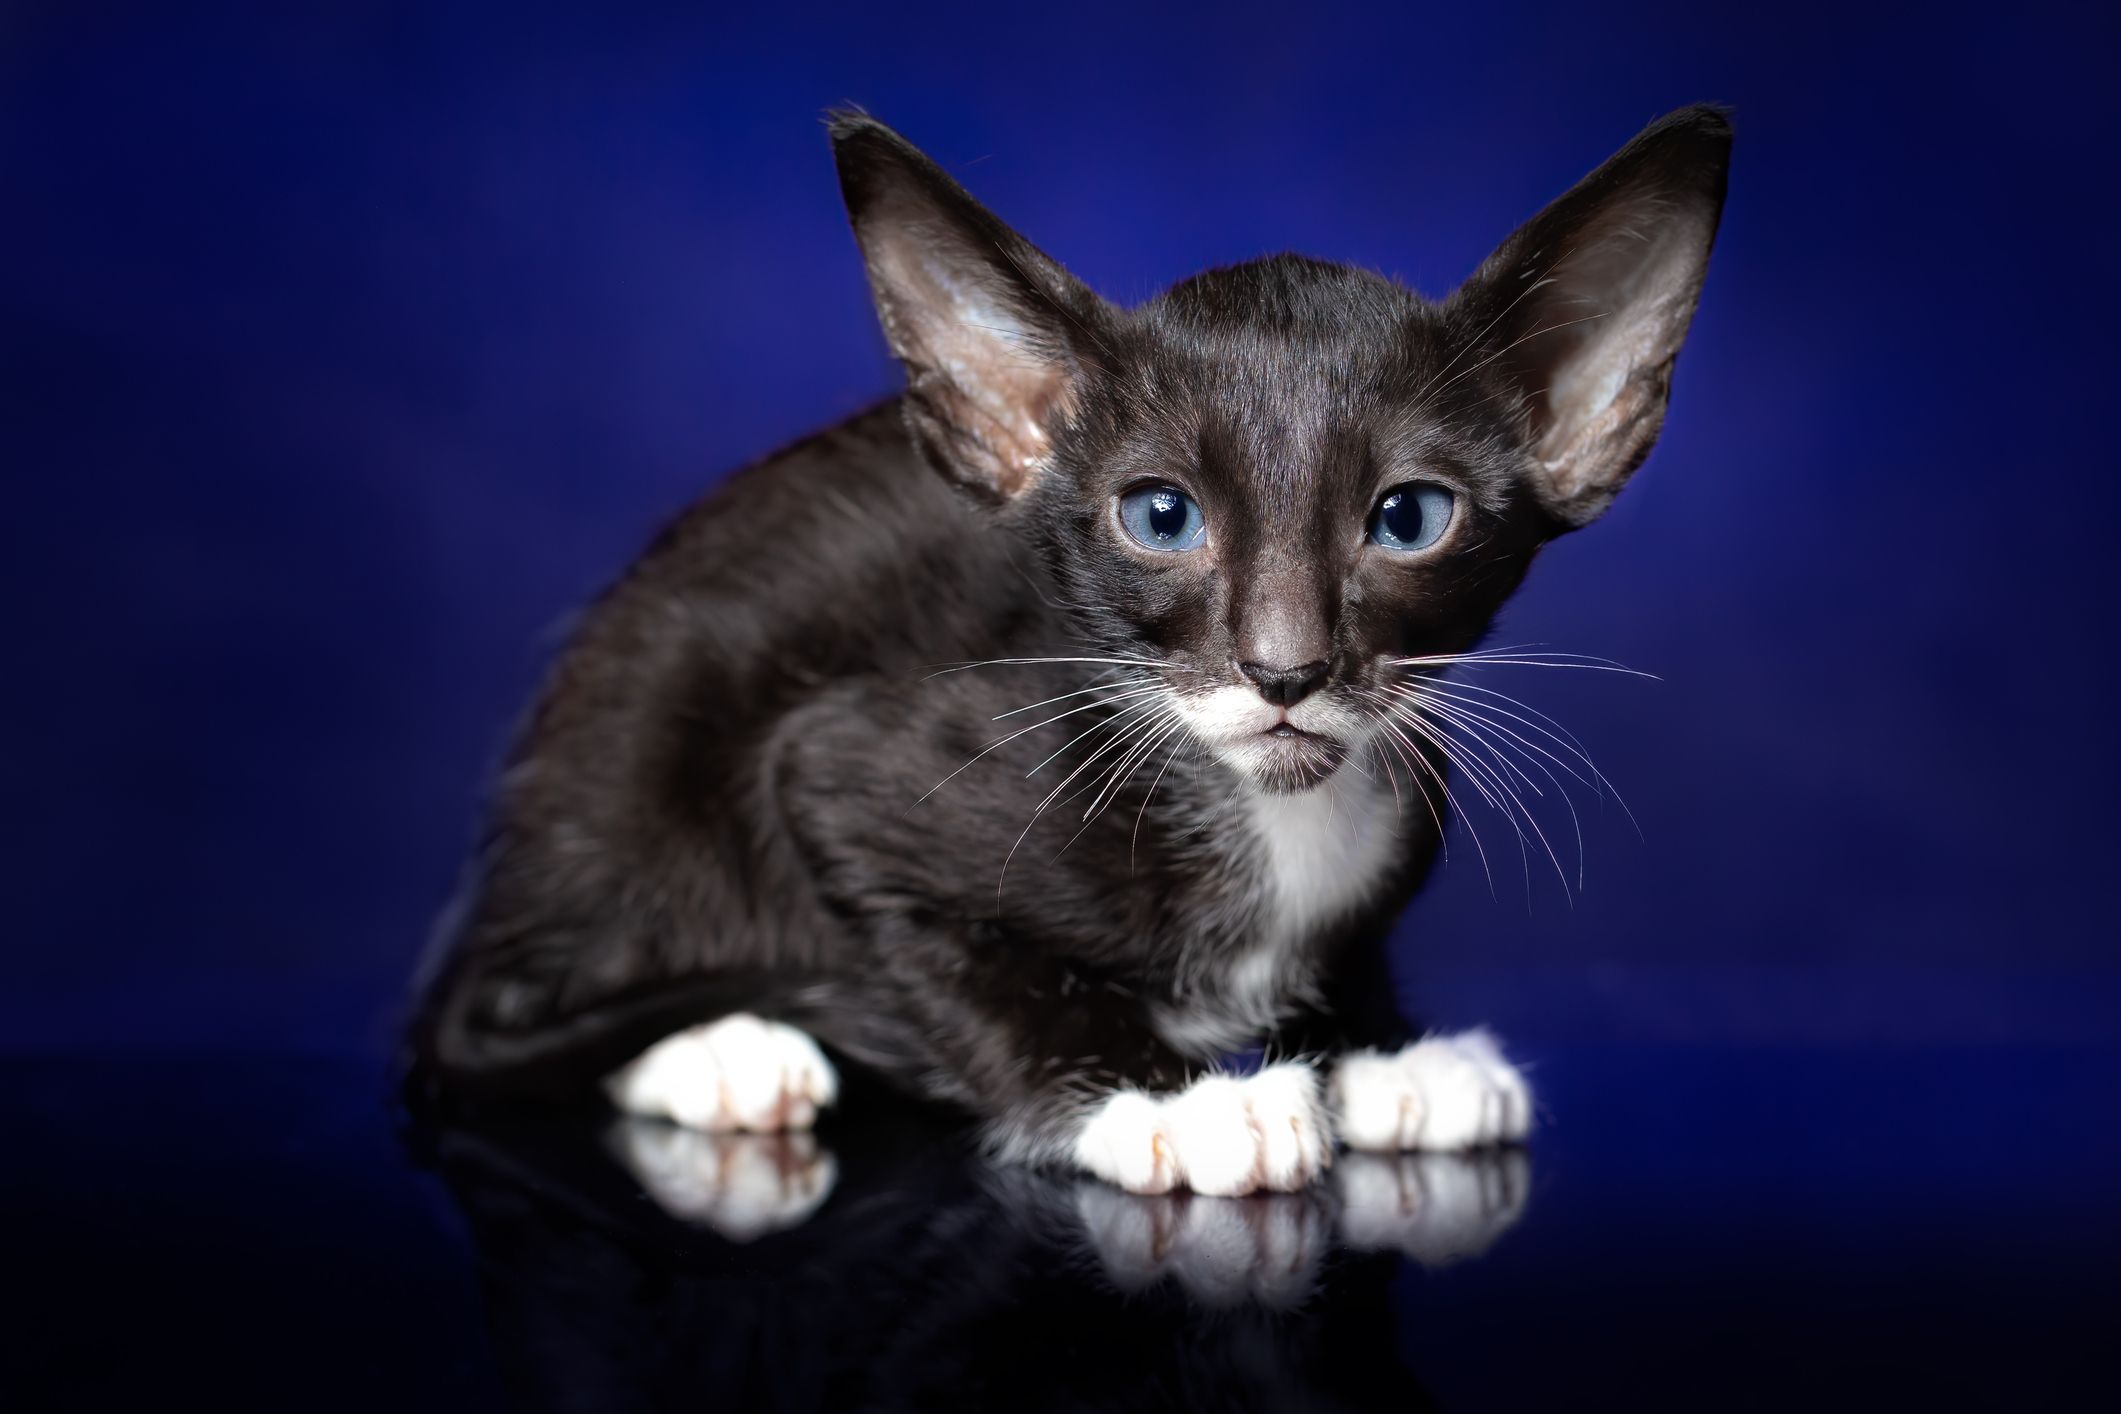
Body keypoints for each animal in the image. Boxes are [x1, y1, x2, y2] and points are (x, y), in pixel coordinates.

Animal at [405, 108, 1730, 1195]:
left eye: (1409, 518)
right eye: (1162, 516)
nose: (1285, 667)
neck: (1274, 817)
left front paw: (1381, 1054)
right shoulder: (840, 772)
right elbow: (955, 966)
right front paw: (1171, 1103)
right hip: (646, 739)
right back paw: (722, 1054)